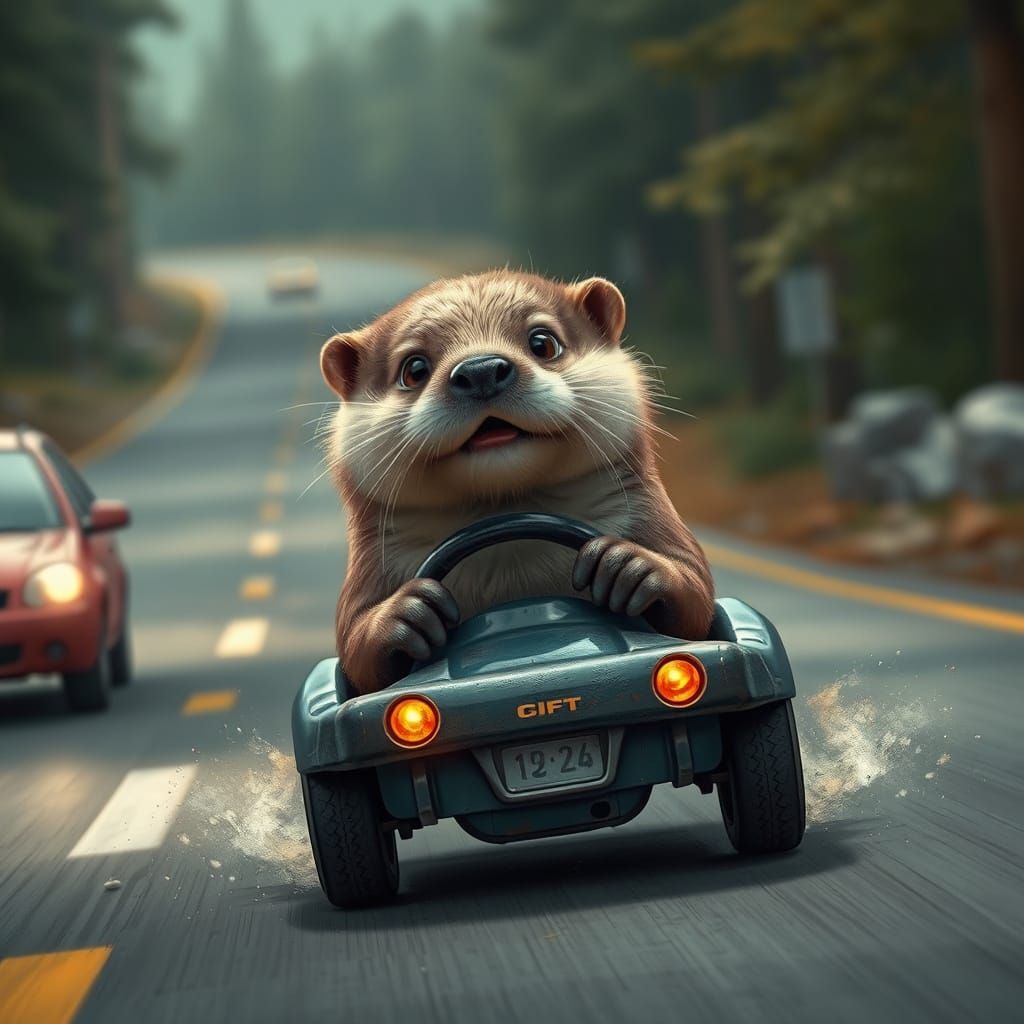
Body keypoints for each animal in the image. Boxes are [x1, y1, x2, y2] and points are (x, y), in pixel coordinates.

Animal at [319, 271, 715, 694]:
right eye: (414, 369)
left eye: (543, 343)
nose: (480, 369)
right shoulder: (371, 567)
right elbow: (357, 651)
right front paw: (401, 615)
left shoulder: (647, 515)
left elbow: (694, 594)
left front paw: (632, 566)